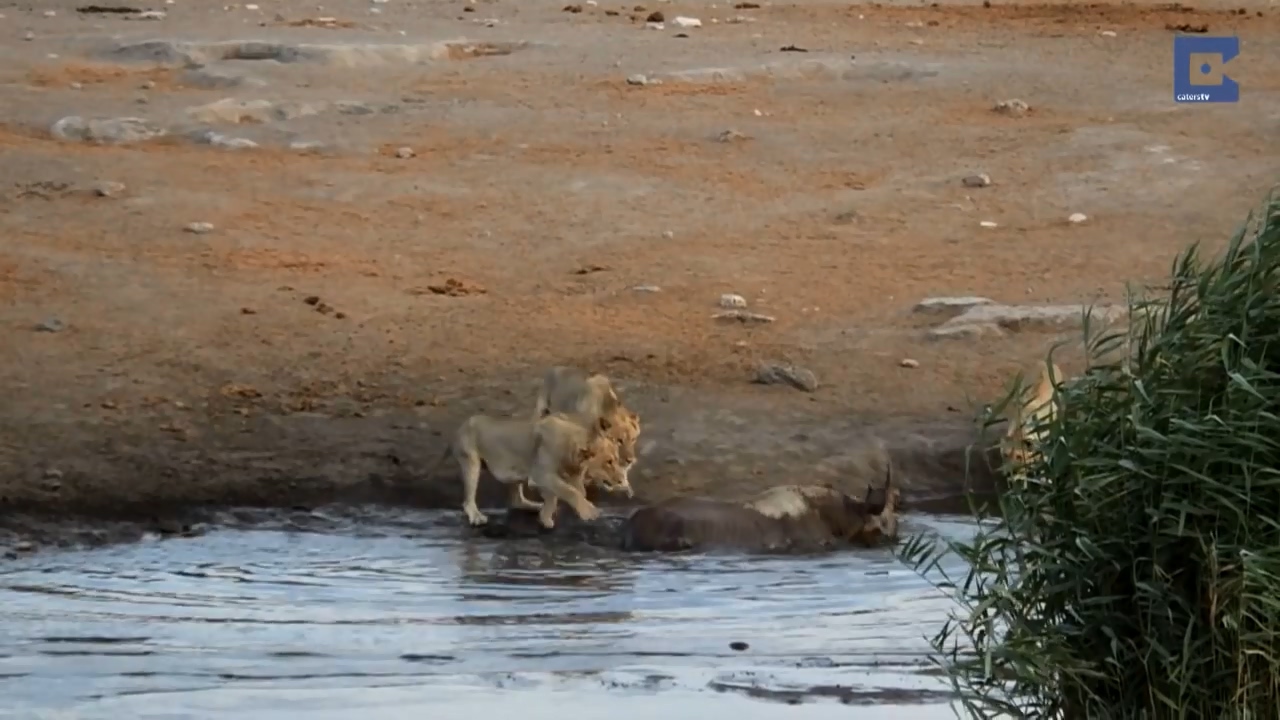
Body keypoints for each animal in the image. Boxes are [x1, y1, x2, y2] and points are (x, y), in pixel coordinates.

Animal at [430, 411, 629, 530]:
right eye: (609, 462)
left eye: (616, 459)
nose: (621, 480)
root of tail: (458, 429)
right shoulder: (540, 475)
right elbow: (569, 492)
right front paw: (589, 512)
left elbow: (558, 495)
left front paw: (545, 517)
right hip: (471, 462)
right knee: (468, 501)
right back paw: (477, 517)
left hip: (514, 472)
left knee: (516, 500)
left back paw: (534, 506)